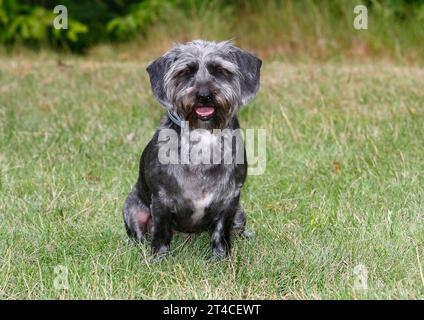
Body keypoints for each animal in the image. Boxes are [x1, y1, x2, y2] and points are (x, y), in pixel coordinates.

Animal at [123, 40, 262, 260]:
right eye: (186, 72)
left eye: (220, 71)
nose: (204, 96)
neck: (203, 133)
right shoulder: (161, 200)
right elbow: (161, 232)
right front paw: (159, 258)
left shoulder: (230, 200)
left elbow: (221, 232)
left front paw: (221, 258)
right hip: (132, 210)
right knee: (140, 235)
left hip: (240, 215)